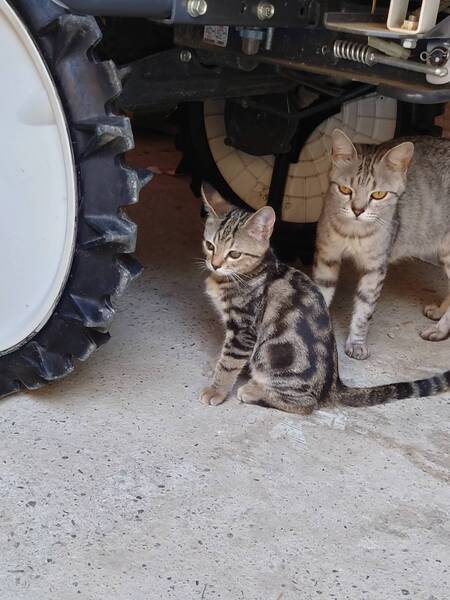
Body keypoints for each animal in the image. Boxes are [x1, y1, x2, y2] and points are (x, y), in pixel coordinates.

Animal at [199, 183, 449, 414]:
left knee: (306, 404)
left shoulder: (244, 329)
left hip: (276, 357)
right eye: (210, 245)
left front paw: (216, 390)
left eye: (234, 254)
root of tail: (333, 384)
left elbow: (229, 362)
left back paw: (253, 391)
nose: (215, 264)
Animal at [314, 128, 450, 361]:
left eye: (378, 194)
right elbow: (319, 294)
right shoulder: (327, 258)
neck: (354, 233)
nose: (357, 210)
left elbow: (364, 310)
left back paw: (439, 329)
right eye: (345, 190)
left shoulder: (374, 268)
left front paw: (357, 343)